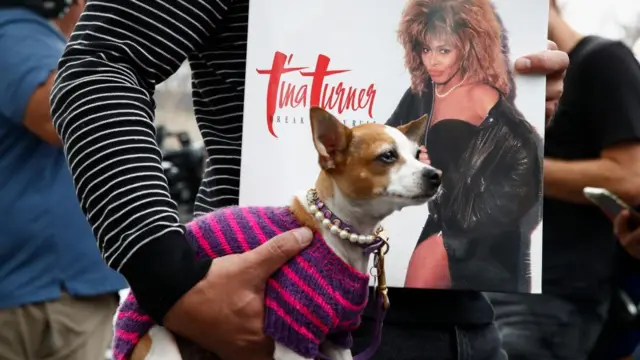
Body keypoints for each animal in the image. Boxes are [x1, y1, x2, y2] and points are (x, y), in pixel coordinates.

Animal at [112, 107, 440, 360]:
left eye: (418, 154)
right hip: (161, 347)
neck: (336, 231)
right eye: (387, 156)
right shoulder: (292, 337)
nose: (435, 174)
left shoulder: (337, 340)